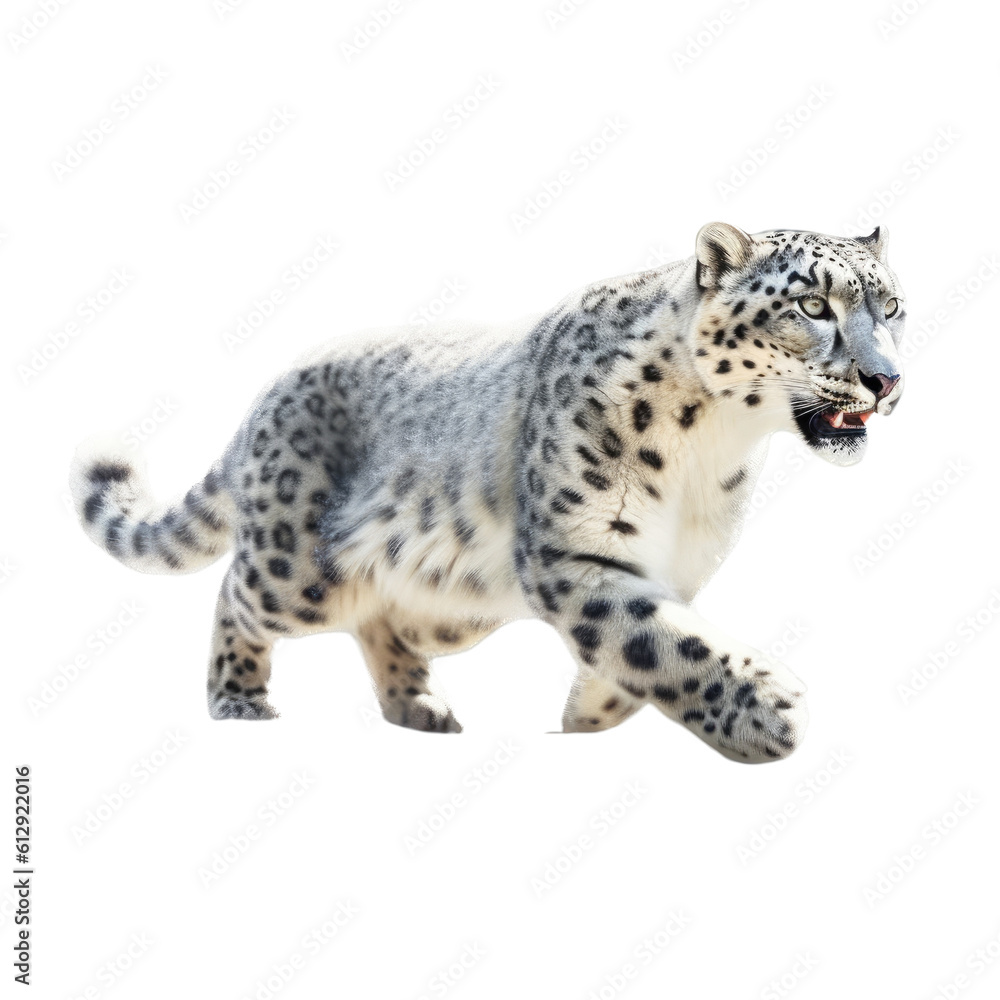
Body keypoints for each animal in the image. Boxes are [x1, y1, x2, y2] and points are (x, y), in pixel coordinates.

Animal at [70, 222, 905, 763]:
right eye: (812, 305)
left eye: (891, 307)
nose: (887, 378)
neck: (717, 447)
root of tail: (265, 396)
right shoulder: (577, 554)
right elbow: (661, 638)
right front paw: (769, 712)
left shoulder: (672, 567)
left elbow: (642, 643)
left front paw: (587, 717)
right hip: (298, 570)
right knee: (236, 593)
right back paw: (240, 701)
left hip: (447, 603)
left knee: (382, 622)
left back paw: (422, 707)